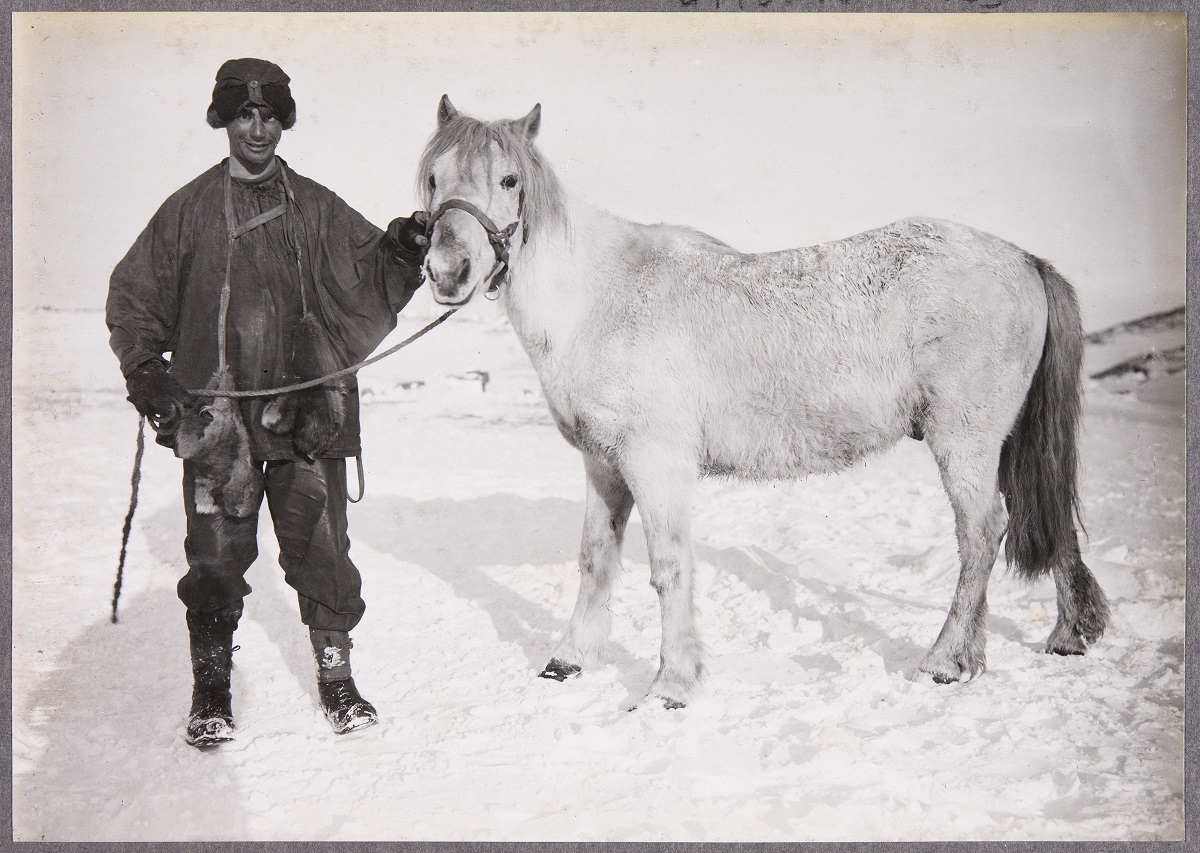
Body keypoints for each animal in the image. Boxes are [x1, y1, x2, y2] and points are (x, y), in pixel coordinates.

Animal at [420, 96, 1104, 705]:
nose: (448, 271)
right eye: (433, 177)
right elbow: (596, 559)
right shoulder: (604, 466)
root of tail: (1023, 260)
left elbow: (669, 568)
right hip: (1004, 443)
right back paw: (1054, 638)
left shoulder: (656, 466)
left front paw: (671, 687)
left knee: (981, 534)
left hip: (965, 442)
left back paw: (943, 660)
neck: (599, 300)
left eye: (509, 179)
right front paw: (569, 660)